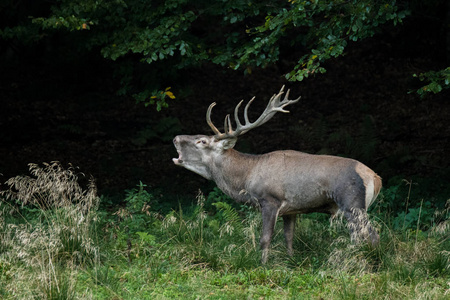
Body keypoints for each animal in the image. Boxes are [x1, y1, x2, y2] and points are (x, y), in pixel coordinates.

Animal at [171, 86, 380, 262]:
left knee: (371, 236)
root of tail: (376, 178)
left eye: (202, 141)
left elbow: (265, 238)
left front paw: (262, 265)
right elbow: (289, 237)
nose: (175, 138)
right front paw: (291, 260)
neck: (246, 178)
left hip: (352, 203)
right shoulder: (292, 209)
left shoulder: (270, 199)